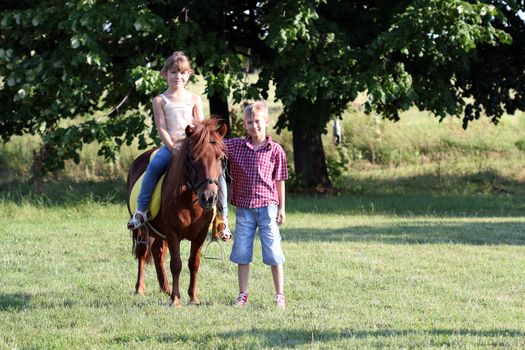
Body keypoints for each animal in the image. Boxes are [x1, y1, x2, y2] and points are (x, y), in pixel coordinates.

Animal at [127, 118, 227, 306]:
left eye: (221, 158)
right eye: (193, 158)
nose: (209, 197)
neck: (189, 199)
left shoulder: (200, 235)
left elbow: (194, 263)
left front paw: (193, 298)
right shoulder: (172, 233)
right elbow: (176, 264)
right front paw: (175, 299)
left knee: (157, 253)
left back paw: (165, 287)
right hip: (141, 229)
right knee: (142, 253)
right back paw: (140, 289)